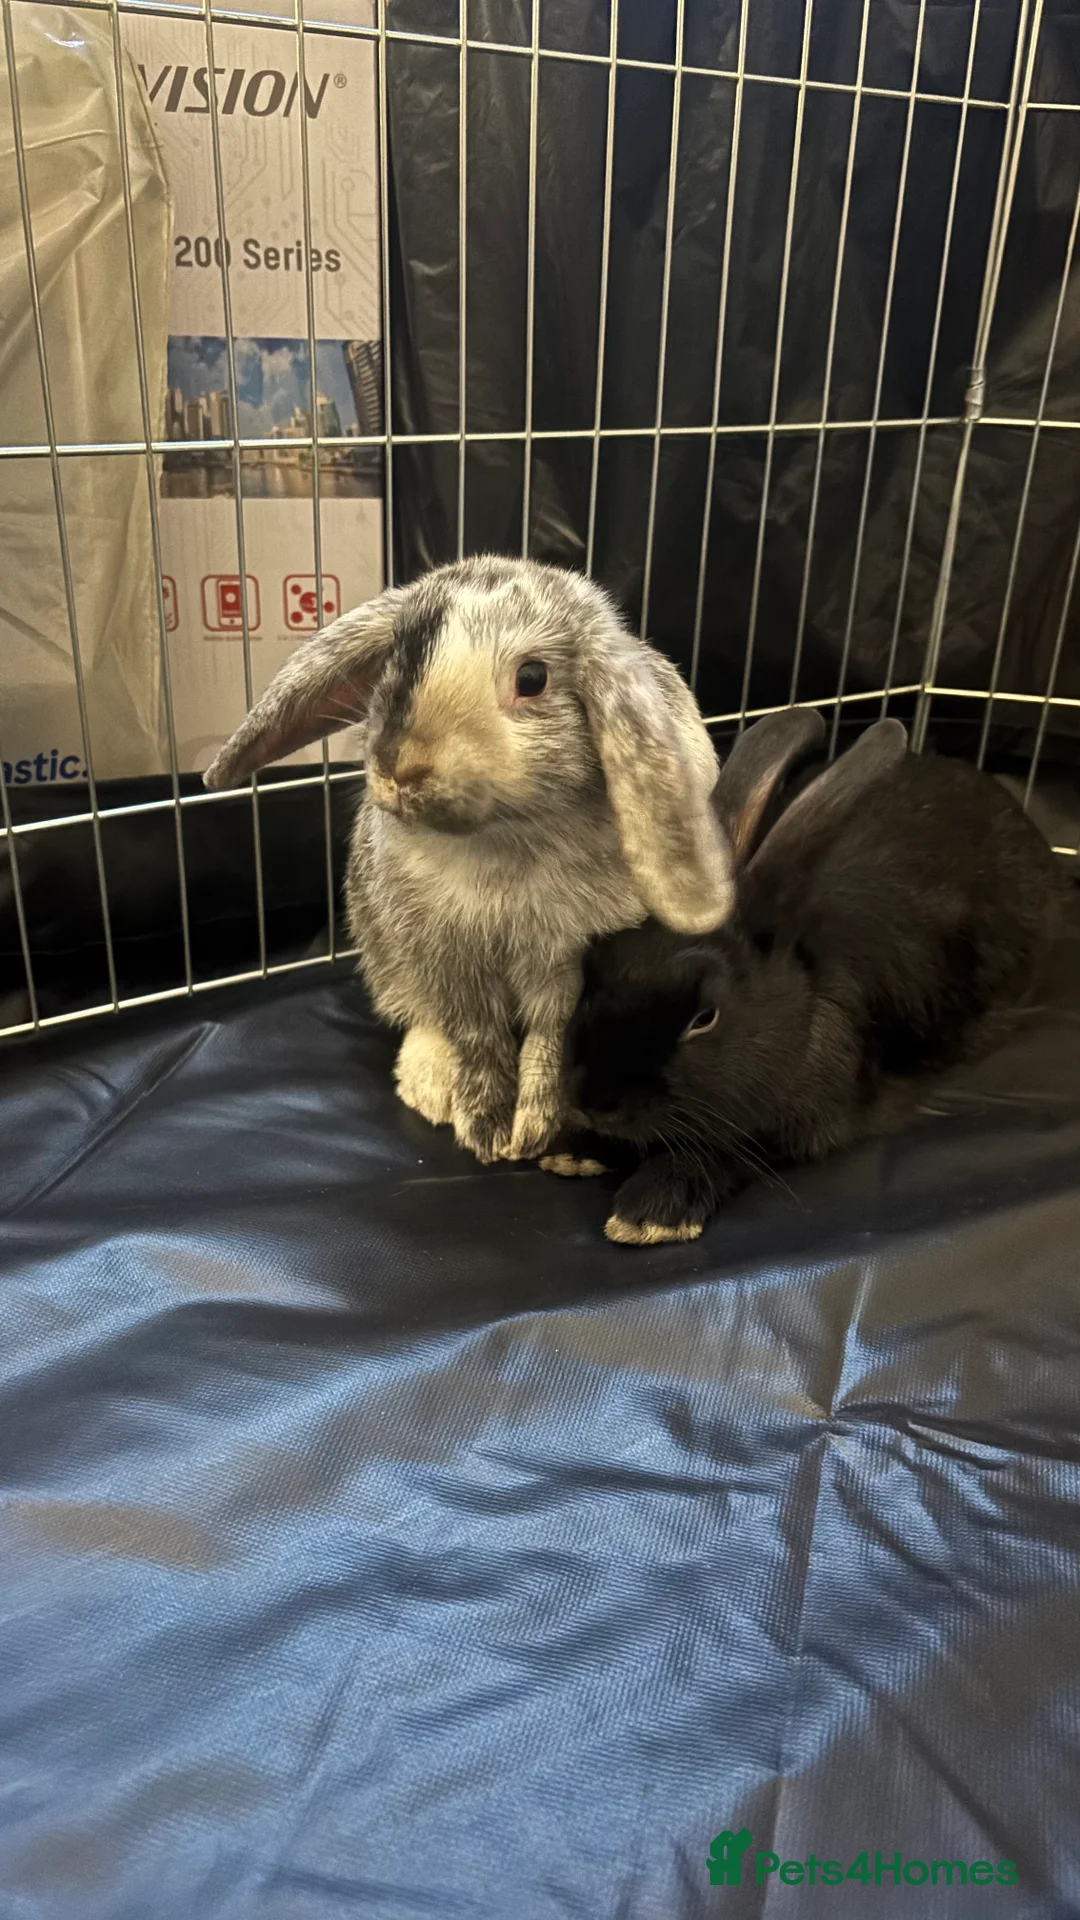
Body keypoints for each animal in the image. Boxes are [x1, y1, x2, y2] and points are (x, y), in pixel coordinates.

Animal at [203, 556, 735, 1164]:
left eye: (532, 679)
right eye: (395, 657)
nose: (399, 768)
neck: (503, 837)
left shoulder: (565, 964)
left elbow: (548, 1038)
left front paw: (532, 1131)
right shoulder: (449, 959)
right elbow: (477, 1037)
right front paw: (487, 1129)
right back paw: (431, 1086)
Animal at [550, 707, 1065, 1244]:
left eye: (704, 1018)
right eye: (595, 963)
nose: (593, 1102)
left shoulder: (800, 1124)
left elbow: (723, 1151)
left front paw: (650, 1211)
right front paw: (575, 1150)